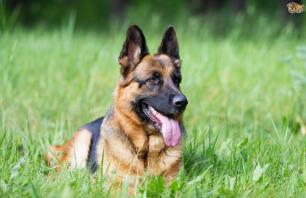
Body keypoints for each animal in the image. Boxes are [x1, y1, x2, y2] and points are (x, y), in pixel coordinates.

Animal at [44, 25, 189, 189]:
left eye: (177, 80)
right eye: (153, 79)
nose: (183, 102)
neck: (146, 151)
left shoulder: (174, 184)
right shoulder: (118, 185)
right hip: (79, 147)